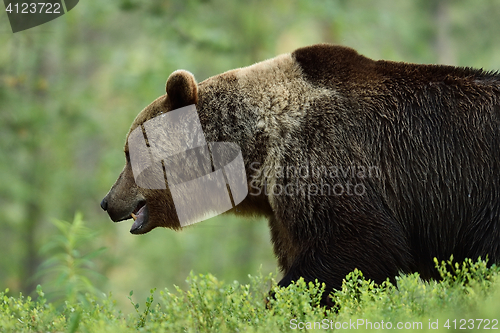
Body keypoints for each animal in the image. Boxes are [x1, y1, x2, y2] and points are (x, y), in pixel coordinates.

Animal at [101, 44, 500, 306]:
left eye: (129, 153)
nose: (107, 201)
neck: (255, 152)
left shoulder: (322, 157)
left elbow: (356, 247)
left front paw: (280, 304)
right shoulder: (283, 208)